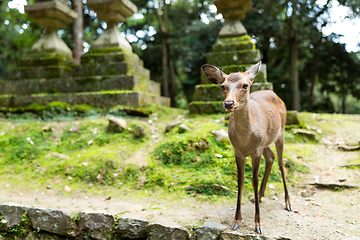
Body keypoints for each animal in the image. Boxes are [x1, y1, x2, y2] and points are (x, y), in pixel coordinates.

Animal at [202, 61, 292, 234]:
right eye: (223, 86)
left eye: (245, 85)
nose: (229, 103)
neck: (245, 140)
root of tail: (275, 94)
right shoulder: (238, 151)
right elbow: (240, 181)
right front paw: (236, 220)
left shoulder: (255, 151)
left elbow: (254, 181)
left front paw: (258, 225)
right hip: (265, 141)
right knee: (271, 157)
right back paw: (259, 197)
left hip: (281, 132)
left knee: (281, 163)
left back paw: (288, 203)